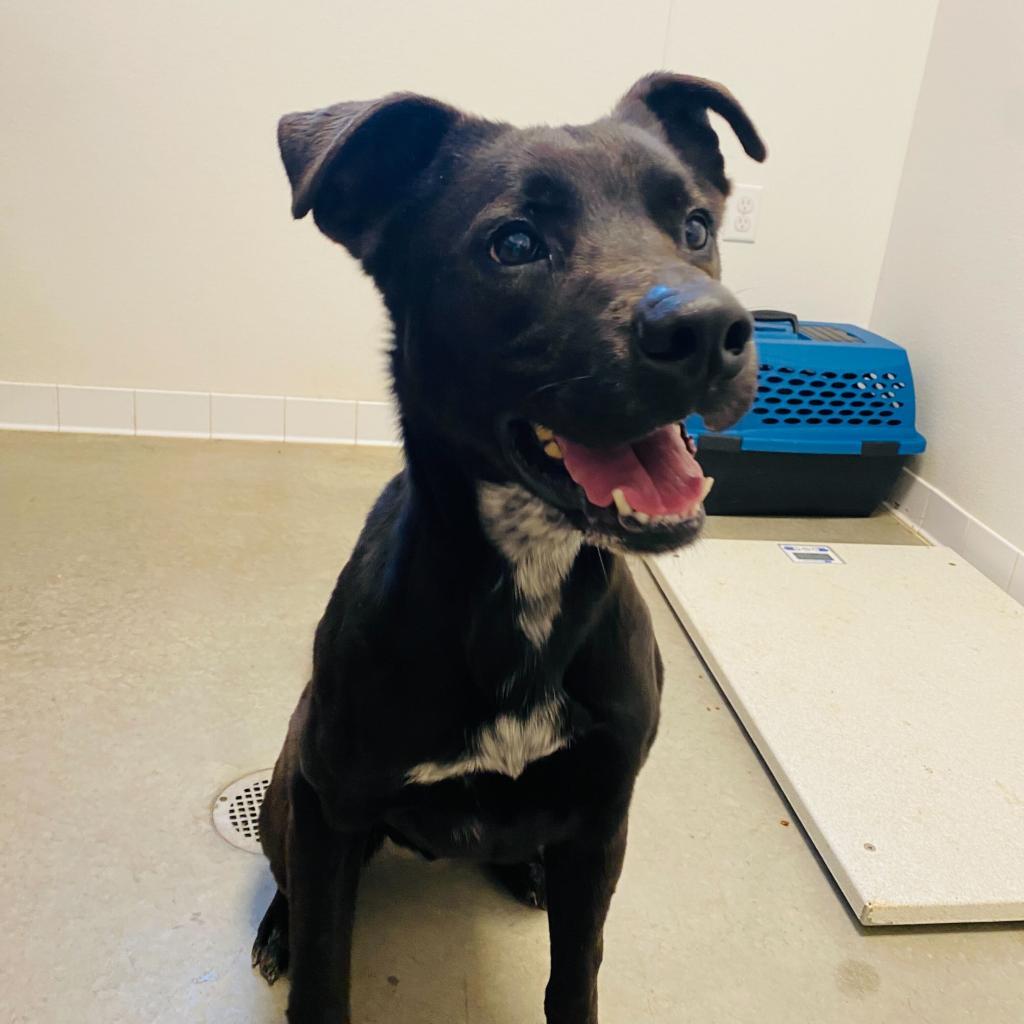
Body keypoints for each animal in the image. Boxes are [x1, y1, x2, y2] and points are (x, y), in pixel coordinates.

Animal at [253, 74, 770, 1024]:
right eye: (515, 243)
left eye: (694, 226)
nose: (709, 330)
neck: (529, 576)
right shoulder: (332, 803)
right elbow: (323, 971)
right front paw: (301, 949)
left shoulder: (603, 816)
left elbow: (576, 977)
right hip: (290, 782)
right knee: (292, 878)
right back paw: (276, 925)